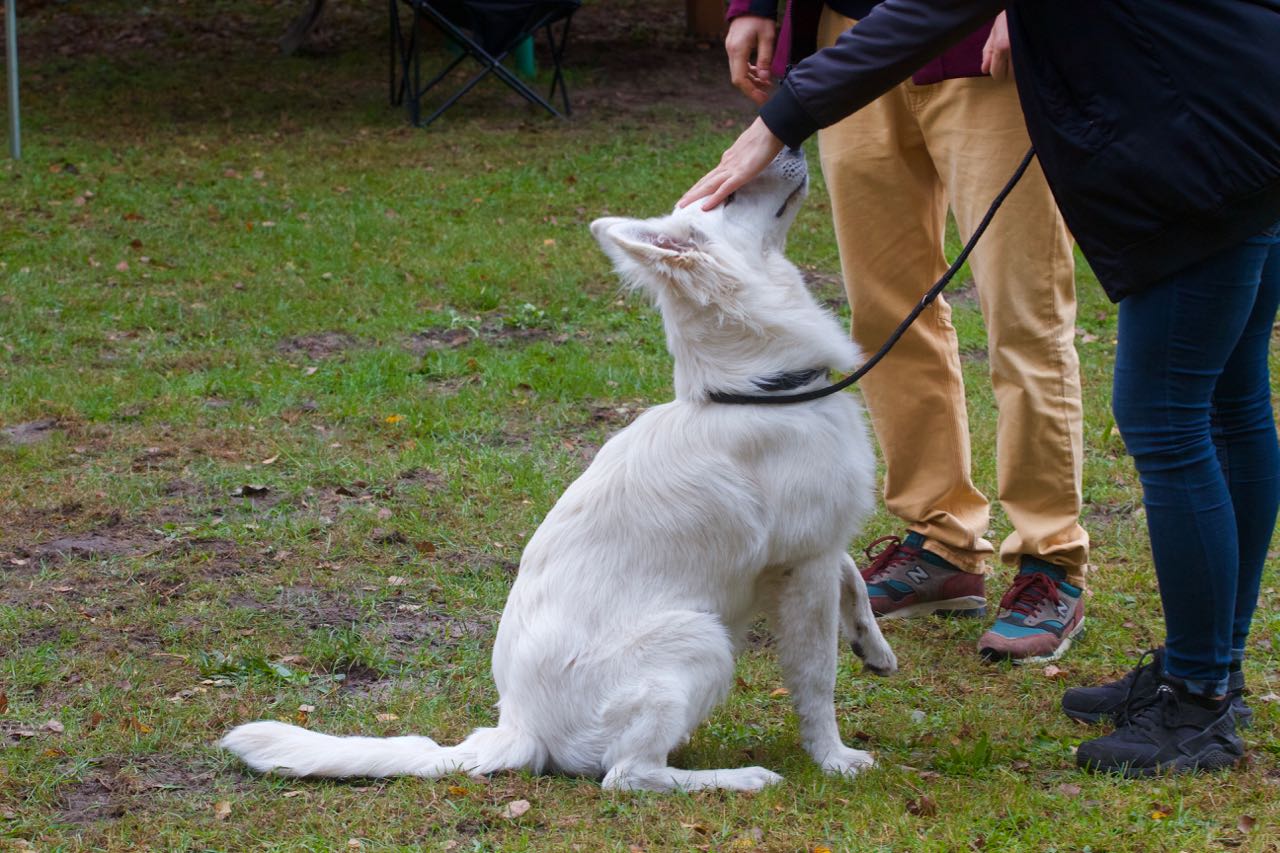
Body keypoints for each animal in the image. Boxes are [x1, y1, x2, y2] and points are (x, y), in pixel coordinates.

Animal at [220, 146, 896, 788]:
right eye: (730, 198)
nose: (790, 146)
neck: (759, 389)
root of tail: (517, 726)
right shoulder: (805, 564)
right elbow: (817, 680)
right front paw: (833, 758)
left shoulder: (819, 545)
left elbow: (854, 576)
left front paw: (874, 646)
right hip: (699, 639)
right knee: (628, 775)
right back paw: (740, 778)